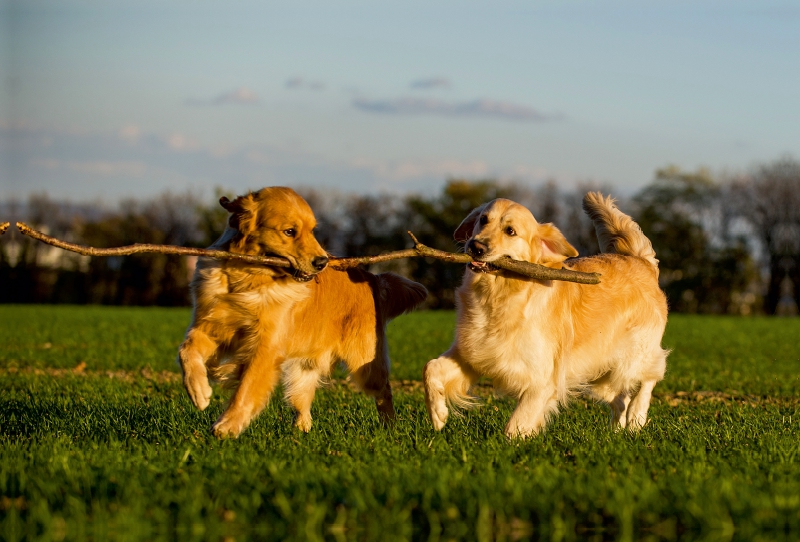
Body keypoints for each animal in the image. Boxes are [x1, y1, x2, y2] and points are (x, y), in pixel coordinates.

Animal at [178, 187, 428, 438]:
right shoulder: (209, 326)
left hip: (365, 362)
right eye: (290, 232)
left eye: (312, 231)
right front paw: (198, 390)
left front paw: (227, 425)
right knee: (302, 403)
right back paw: (301, 430)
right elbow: (185, 351)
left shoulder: (266, 347)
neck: (249, 279)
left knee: (384, 390)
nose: (322, 262)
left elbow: (246, 389)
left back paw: (390, 428)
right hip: (304, 365)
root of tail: (372, 277)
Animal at [424, 193, 668, 440]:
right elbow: (430, 367)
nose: (476, 246)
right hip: (598, 372)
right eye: (483, 219)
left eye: (510, 231)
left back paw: (637, 418)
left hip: (633, 357)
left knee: (648, 378)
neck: (498, 295)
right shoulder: (473, 353)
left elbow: (515, 425)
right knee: (620, 398)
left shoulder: (542, 380)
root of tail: (639, 260)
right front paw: (438, 414)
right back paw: (617, 430)